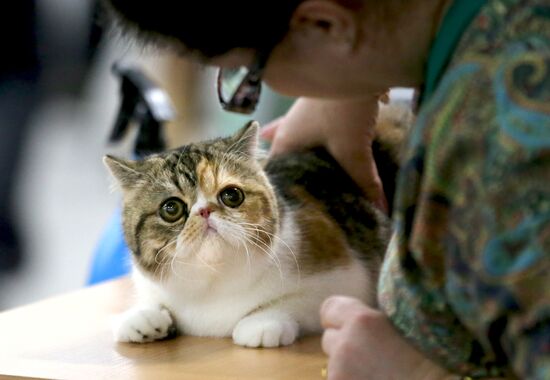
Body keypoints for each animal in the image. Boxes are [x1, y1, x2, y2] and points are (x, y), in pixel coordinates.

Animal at [108, 104, 410, 348]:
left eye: (231, 195)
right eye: (171, 209)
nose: (204, 211)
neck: (213, 285)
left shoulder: (347, 277)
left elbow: (302, 300)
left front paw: (261, 323)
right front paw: (141, 316)